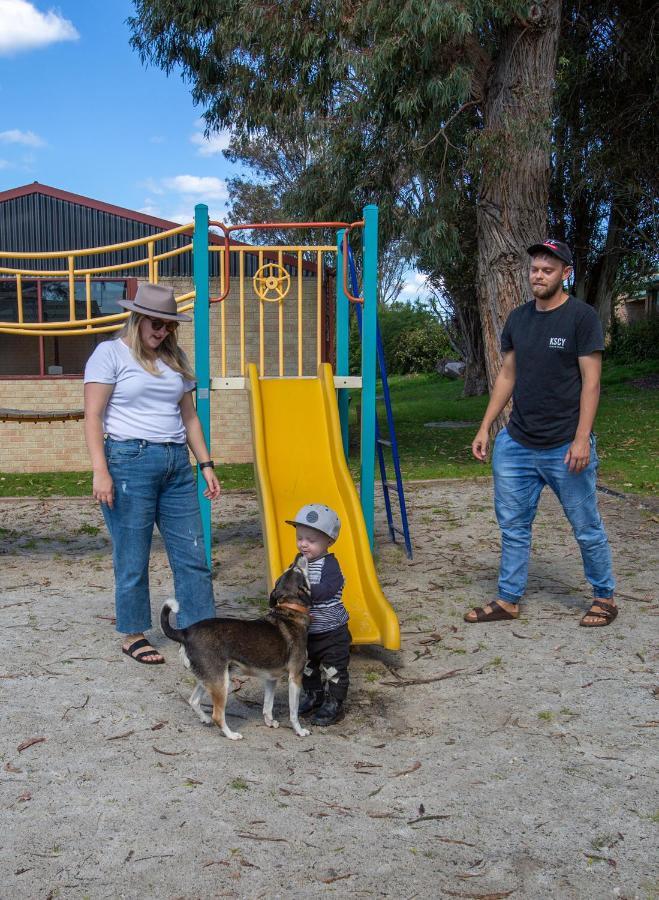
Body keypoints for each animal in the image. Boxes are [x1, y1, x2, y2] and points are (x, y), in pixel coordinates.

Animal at [161, 556, 314, 740]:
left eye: (290, 567)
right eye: (296, 569)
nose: (298, 556)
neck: (289, 611)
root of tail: (185, 632)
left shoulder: (271, 678)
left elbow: (267, 706)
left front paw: (269, 722)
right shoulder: (295, 677)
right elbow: (293, 713)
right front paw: (299, 730)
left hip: (210, 678)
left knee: (194, 700)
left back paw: (205, 719)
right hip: (222, 683)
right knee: (218, 715)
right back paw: (231, 734)